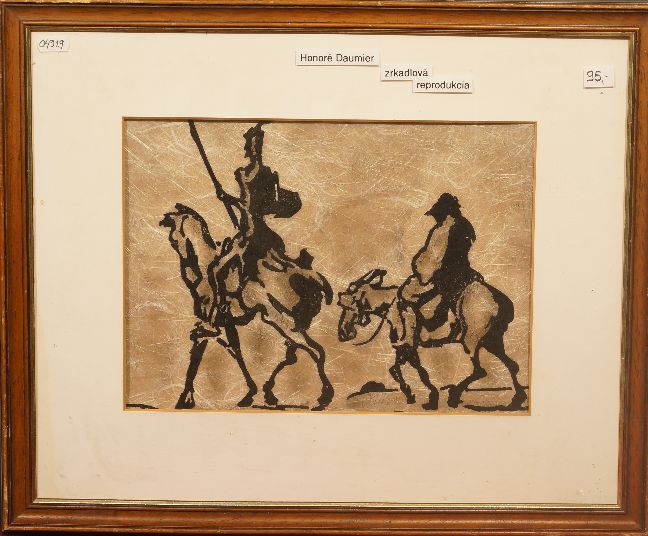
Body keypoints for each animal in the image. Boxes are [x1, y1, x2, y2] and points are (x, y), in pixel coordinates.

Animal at [160, 203, 334, 411]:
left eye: (172, 222)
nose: (161, 222)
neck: (203, 267)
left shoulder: (207, 322)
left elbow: (198, 353)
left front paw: (185, 398)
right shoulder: (226, 323)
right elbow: (235, 351)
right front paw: (249, 393)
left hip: (282, 322)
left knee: (315, 351)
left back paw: (322, 398)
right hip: (288, 324)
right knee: (294, 353)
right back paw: (271, 393)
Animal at [337, 268, 527, 411]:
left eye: (351, 304)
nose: (343, 333)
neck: (393, 309)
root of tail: (501, 301)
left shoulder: (408, 346)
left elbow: (416, 372)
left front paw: (430, 397)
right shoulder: (404, 348)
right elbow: (398, 369)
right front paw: (413, 394)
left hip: (472, 341)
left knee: (480, 370)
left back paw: (454, 396)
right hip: (492, 342)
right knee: (512, 365)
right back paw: (517, 399)